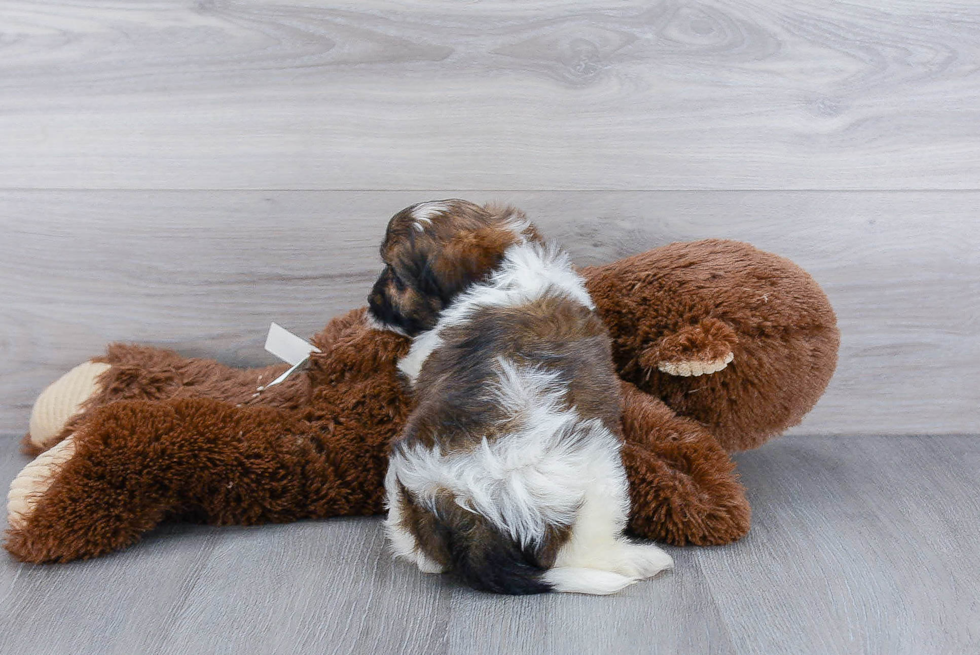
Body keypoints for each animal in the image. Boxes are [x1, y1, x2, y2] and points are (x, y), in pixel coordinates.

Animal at [368, 199, 672, 596]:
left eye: (394, 275)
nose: (369, 304)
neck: (505, 267)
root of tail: (461, 504)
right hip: (596, 470)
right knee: (576, 553)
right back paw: (638, 559)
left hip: (402, 492)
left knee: (418, 550)